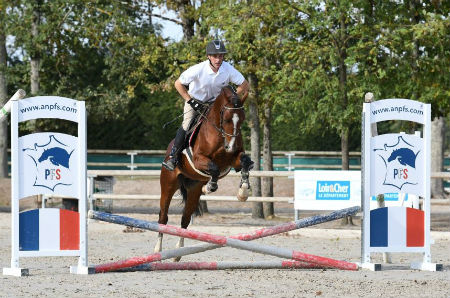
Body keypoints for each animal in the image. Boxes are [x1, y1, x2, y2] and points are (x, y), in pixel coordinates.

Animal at [155, 85, 253, 260]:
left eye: (241, 119)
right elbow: (214, 168)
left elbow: (245, 163)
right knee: (163, 217)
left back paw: (178, 253)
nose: (231, 146)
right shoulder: (199, 159)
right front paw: (209, 187)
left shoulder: (234, 160)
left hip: (193, 190)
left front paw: (243, 191)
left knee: (185, 219)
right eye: (226, 119)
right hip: (168, 184)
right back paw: (157, 250)